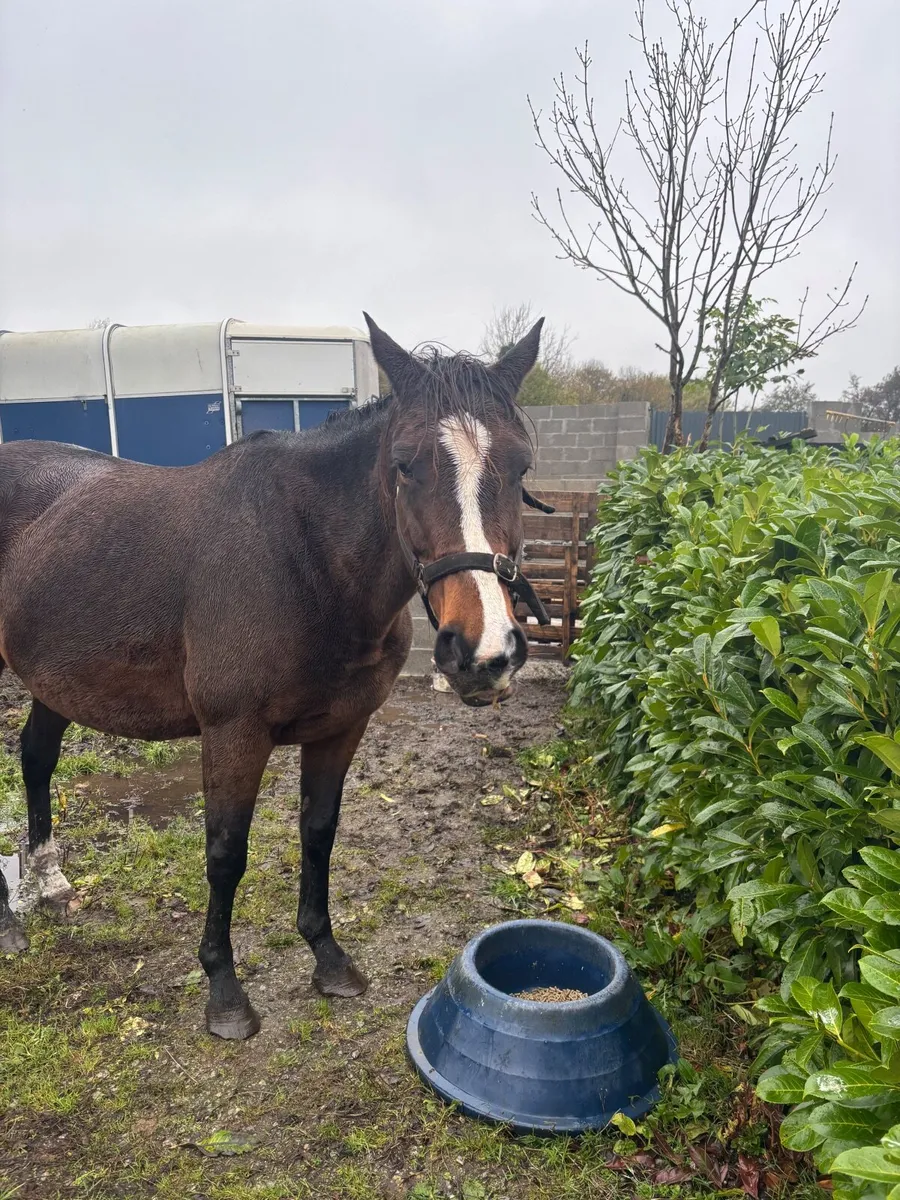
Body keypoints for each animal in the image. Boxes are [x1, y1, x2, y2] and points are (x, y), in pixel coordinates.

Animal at [0, 315, 549, 1039]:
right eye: (404, 466)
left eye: (520, 467)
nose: (482, 651)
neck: (305, 558)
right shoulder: (234, 733)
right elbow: (226, 852)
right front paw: (224, 991)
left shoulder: (342, 729)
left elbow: (318, 832)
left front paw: (328, 956)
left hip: (55, 679)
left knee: (37, 756)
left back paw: (47, 885)